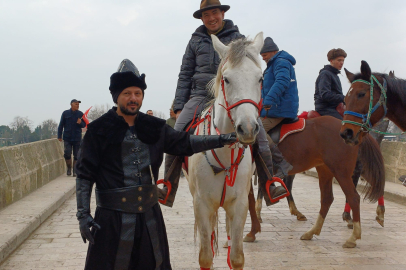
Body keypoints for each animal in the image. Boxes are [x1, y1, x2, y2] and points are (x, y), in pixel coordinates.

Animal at [186, 32, 264, 268]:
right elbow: (205, 256)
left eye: (260, 78)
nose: (247, 128)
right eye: (227, 79)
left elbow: (237, 257)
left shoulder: (239, 205)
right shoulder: (201, 204)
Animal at [244, 115, 384, 248]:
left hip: (341, 171)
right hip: (325, 169)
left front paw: (253, 230)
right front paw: (253, 230)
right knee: (327, 198)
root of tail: (356, 132)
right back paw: (312, 231)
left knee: (354, 197)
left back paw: (353, 237)